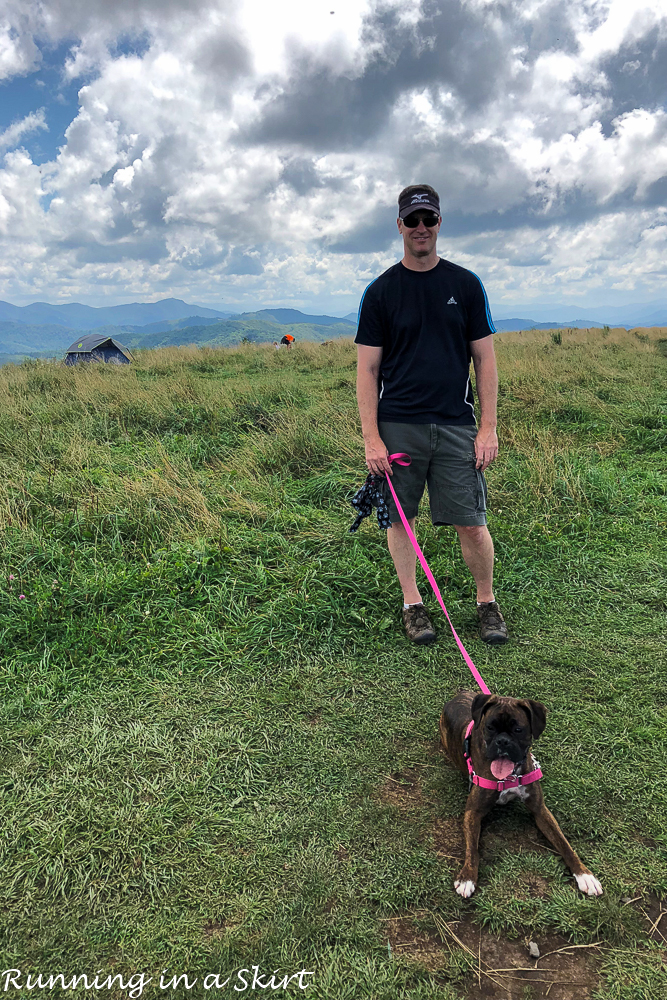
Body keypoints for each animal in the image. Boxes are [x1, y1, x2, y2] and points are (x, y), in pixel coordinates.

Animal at [440, 696, 604, 900]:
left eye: (518, 730)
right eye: (490, 727)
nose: (502, 741)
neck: (509, 776)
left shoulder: (540, 810)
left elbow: (564, 844)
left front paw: (584, 875)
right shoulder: (473, 812)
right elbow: (472, 849)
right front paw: (467, 878)